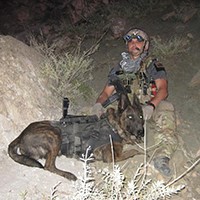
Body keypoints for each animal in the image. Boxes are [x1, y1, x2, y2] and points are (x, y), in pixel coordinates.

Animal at [7, 93, 143, 180]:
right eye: (130, 117)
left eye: (141, 116)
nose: (141, 132)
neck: (113, 125)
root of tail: (21, 135)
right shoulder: (112, 157)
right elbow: (133, 151)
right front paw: (141, 151)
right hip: (54, 135)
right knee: (48, 166)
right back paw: (68, 174)